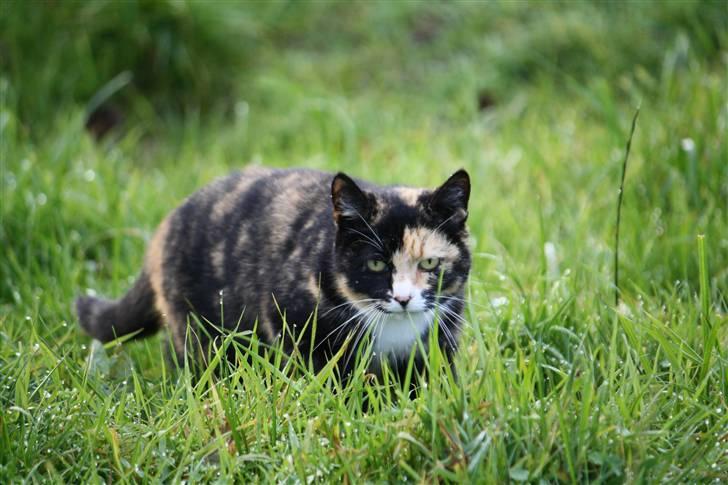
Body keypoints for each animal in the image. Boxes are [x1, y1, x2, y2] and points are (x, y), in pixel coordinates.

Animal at [75, 166, 472, 378]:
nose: (403, 298)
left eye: (430, 264)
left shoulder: (436, 346)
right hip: (198, 326)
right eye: (376, 263)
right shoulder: (291, 319)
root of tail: (165, 226)